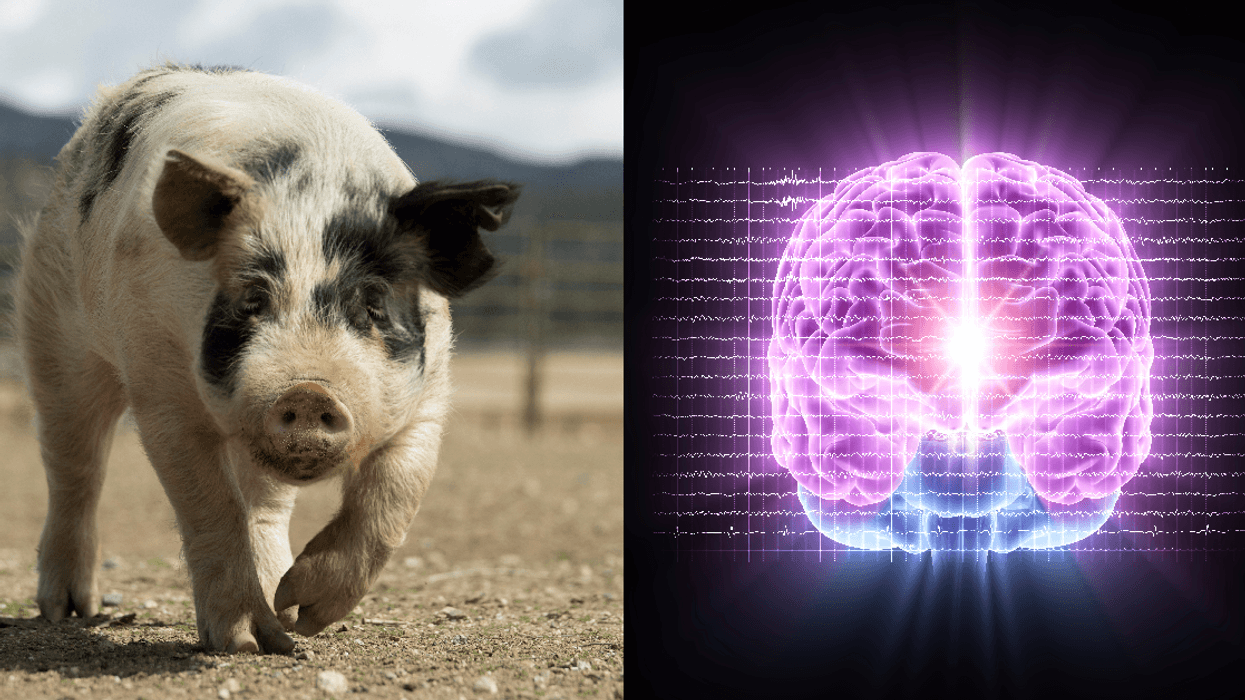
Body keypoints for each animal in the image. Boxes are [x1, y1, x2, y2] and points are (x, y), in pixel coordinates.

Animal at [13, 63, 519, 653]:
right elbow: (209, 505)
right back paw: (71, 611)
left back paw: (281, 605)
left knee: (265, 505)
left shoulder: (430, 389)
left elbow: (394, 494)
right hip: (52, 322)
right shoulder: (159, 381)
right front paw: (244, 642)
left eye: (372, 302)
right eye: (252, 300)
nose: (309, 390)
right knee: (74, 463)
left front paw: (305, 619)